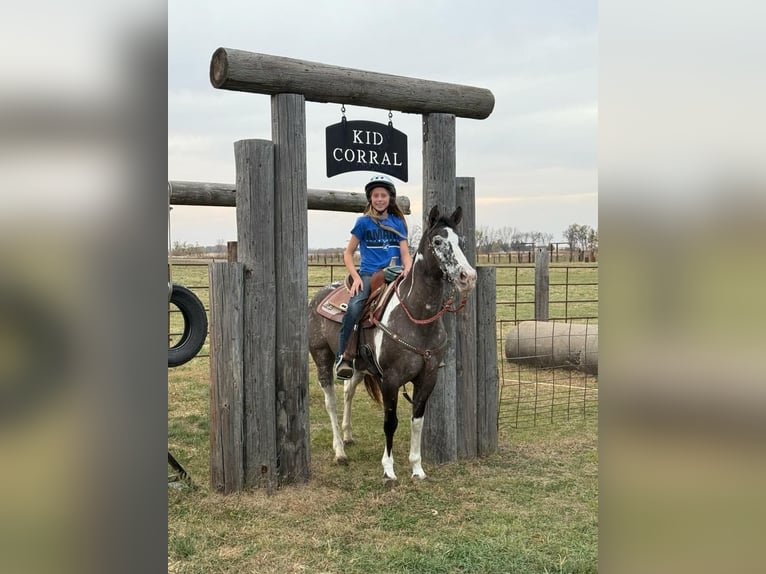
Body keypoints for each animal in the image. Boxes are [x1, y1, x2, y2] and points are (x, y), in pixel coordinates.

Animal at [308, 205, 476, 484]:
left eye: (460, 241)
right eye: (438, 241)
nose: (468, 277)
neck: (416, 316)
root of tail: (319, 295)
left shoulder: (427, 378)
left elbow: (417, 420)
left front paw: (417, 468)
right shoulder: (390, 378)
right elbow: (391, 421)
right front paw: (389, 470)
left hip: (358, 366)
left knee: (348, 392)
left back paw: (347, 436)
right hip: (322, 357)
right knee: (330, 402)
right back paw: (340, 452)